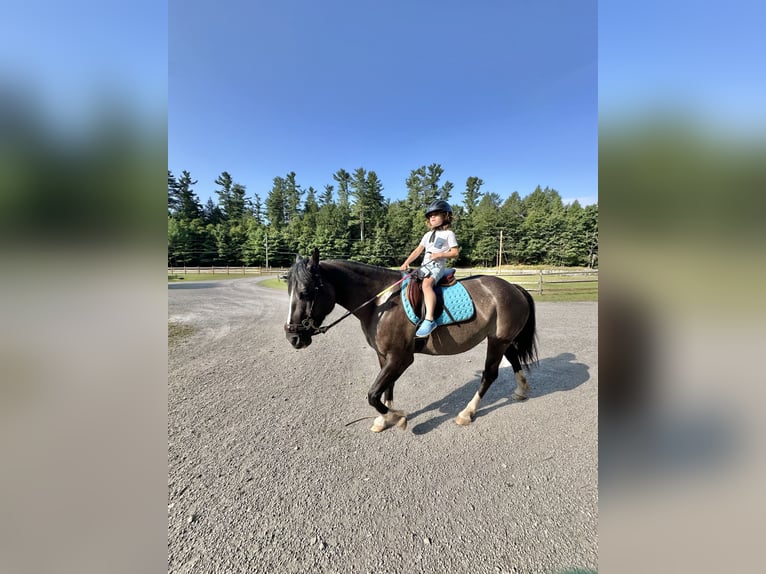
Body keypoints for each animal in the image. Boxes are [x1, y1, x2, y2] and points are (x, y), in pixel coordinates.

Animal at [284, 248, 538, 433]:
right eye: (290, 292)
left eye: (306, 292)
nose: (293, 337)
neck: (381, 303)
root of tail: (514, 287)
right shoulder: (384, 356)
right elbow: (386, 389)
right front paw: (384, 419)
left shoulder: (401, 358)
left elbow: (373, 394)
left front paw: (397, 417)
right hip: (502, 339)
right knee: (513, 359)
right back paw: (521, 391)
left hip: (497, 341)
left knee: (490, 374)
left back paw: (467, 413)